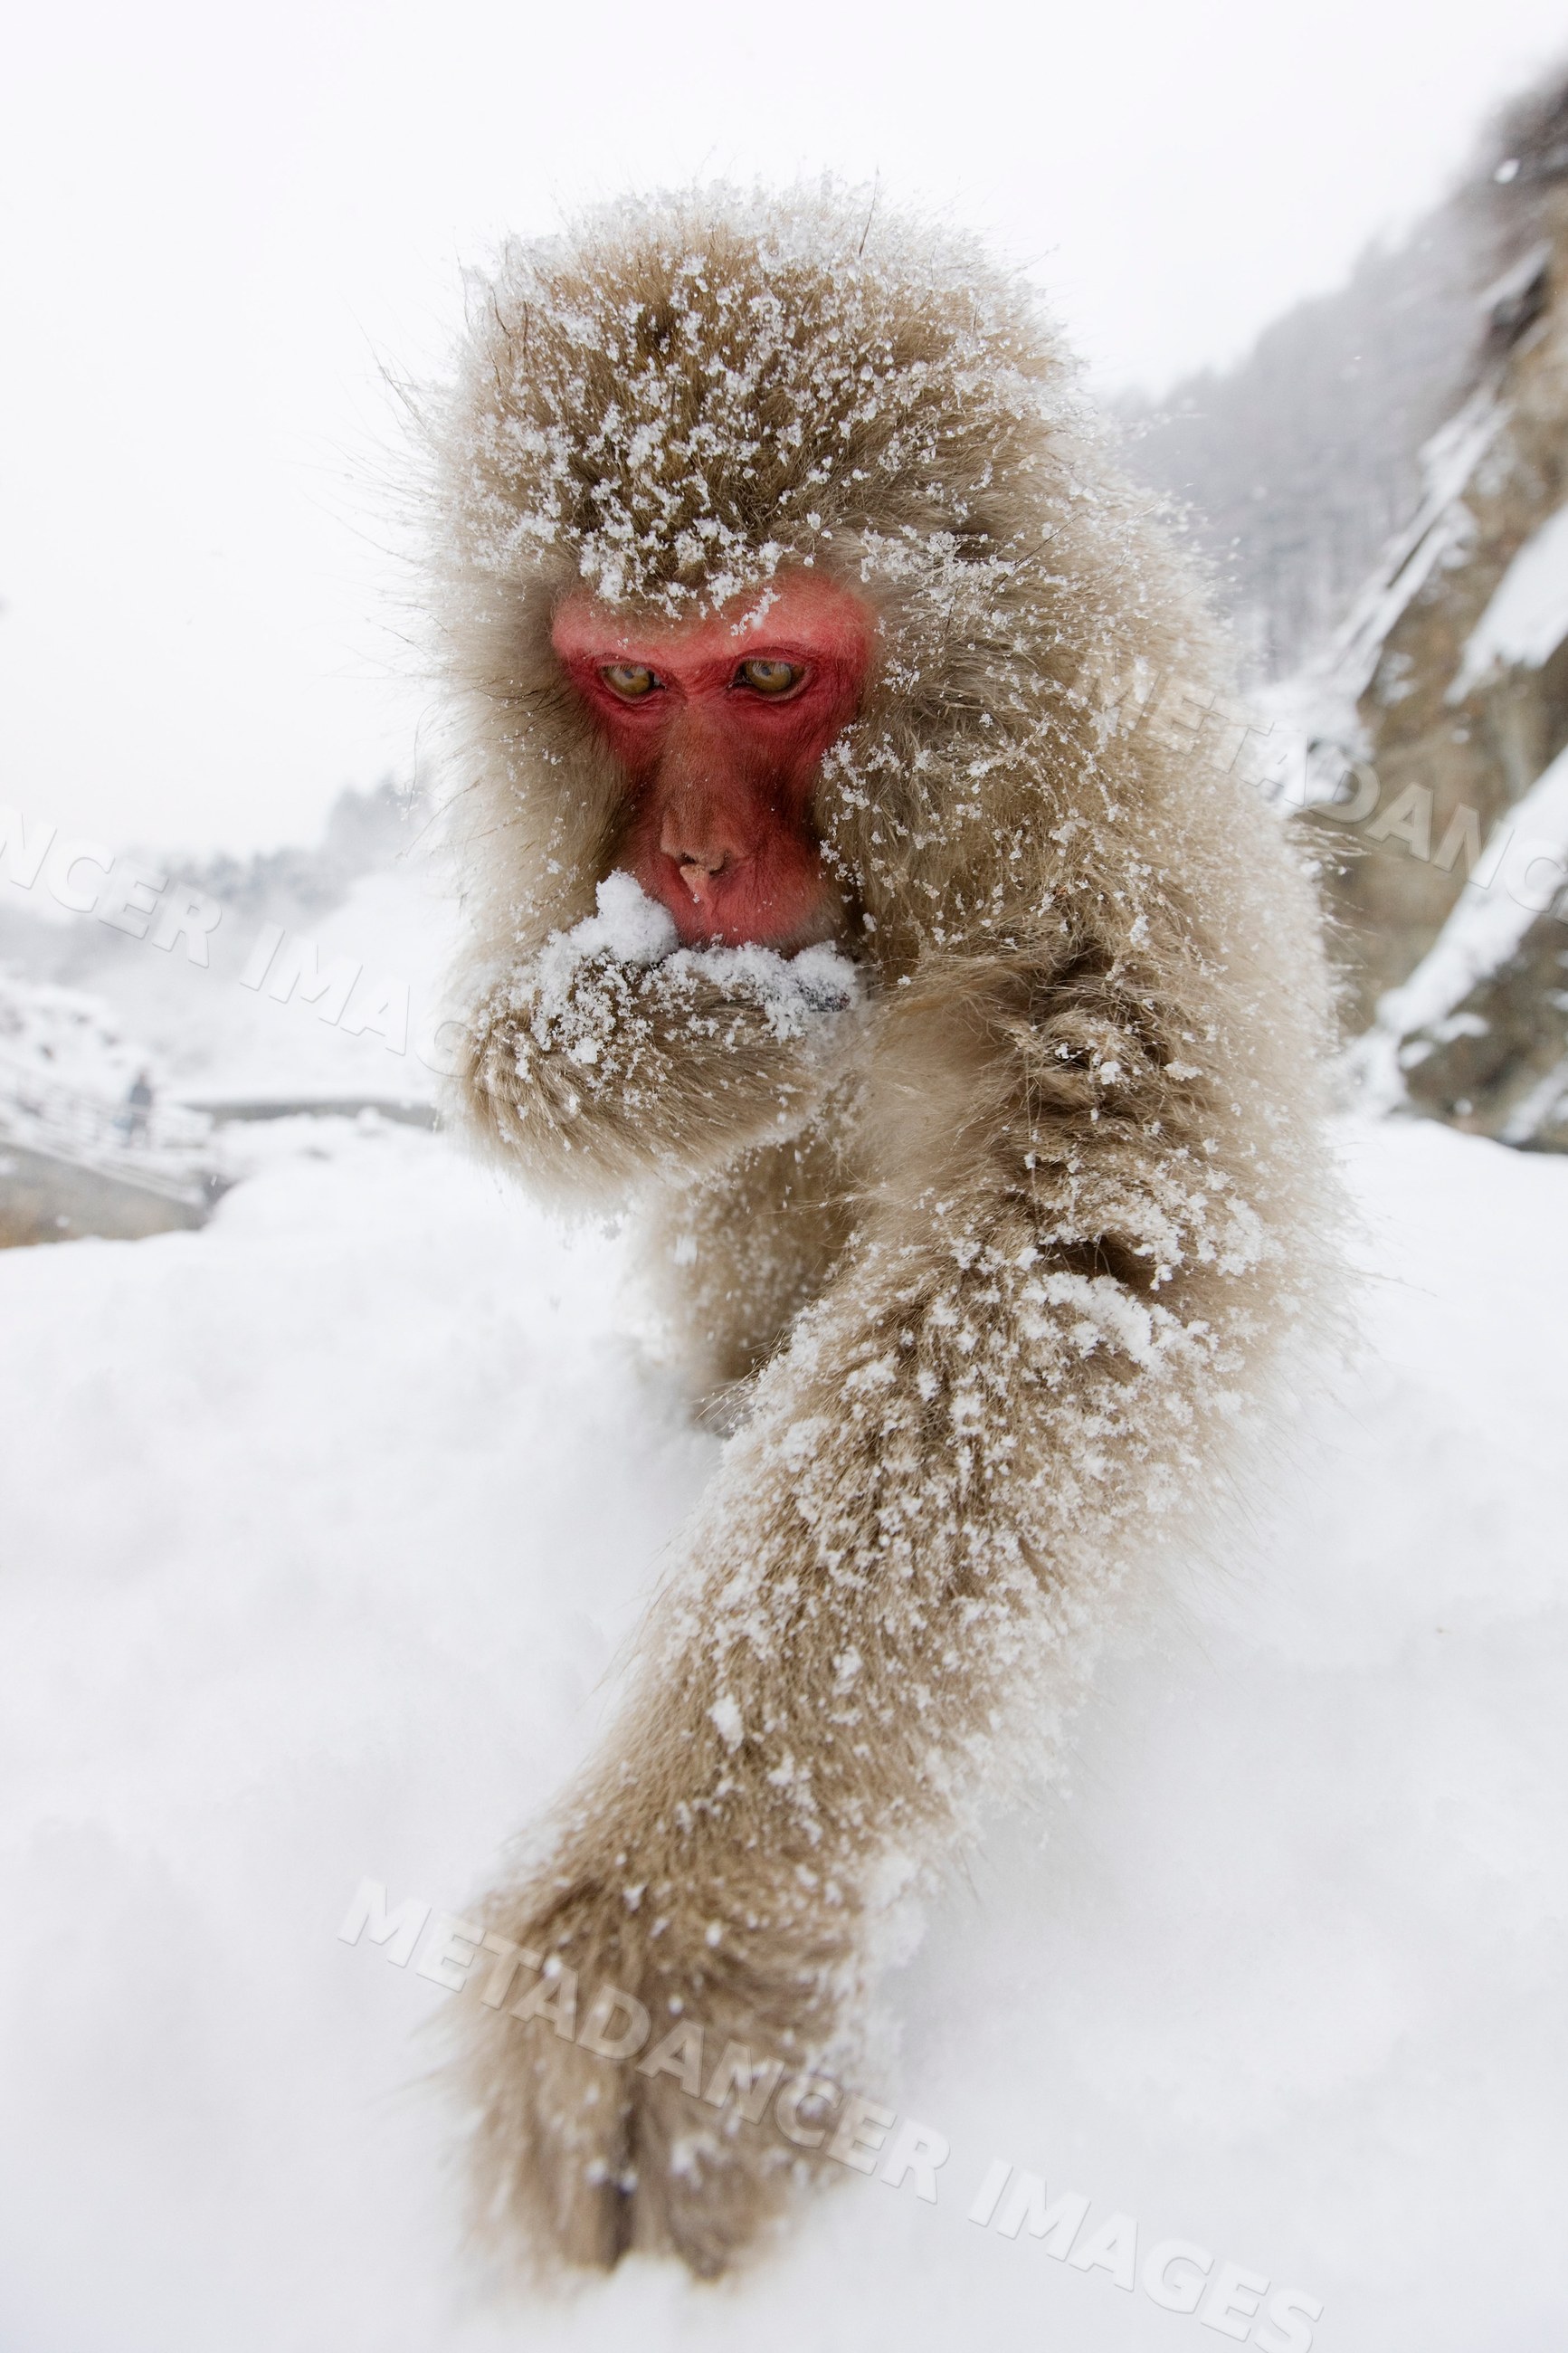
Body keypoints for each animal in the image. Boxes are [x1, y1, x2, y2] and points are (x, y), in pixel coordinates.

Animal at [423, 186, 1335, 2281]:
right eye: (627, 681)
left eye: (765, 676)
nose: (687, 860)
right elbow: (495, 1046)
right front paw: (684, 1037)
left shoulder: (1085, 797)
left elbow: (1086, 1244)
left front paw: (671, 1941)